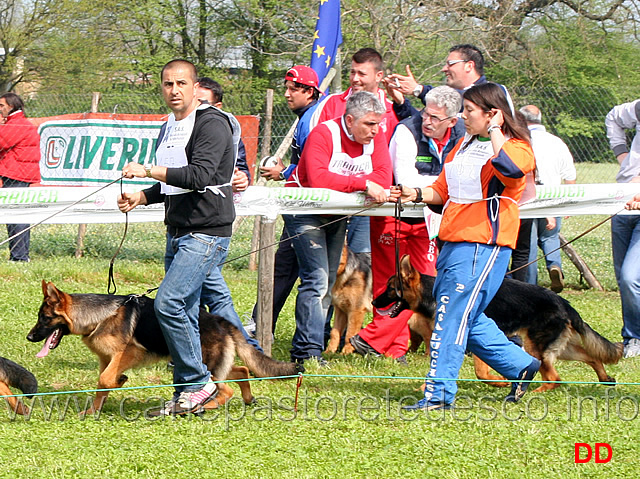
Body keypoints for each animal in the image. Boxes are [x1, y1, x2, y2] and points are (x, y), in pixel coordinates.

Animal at [27, 284, 302, 414]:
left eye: (44, 318)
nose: (29, 337)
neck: (100, 315)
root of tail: (220, 320)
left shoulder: (128, 353)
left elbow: (105, 380)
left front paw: (118, 382)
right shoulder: (107, 360)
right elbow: (101, 385)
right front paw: (94, 410)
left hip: (206, 367)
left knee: (223, 389)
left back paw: (205, 405)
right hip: (210, 363)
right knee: (242, 371)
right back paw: (246, 398)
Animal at [372, 256, 624, 392]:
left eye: (389, 288)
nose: (374, 301)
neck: (434, 294)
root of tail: (563, 302)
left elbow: (480, 371)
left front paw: (500, 383)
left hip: (537, 348)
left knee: (555, 378)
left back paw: (533, 391)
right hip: (558, 347)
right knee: (591, 357)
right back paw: (605, 378)